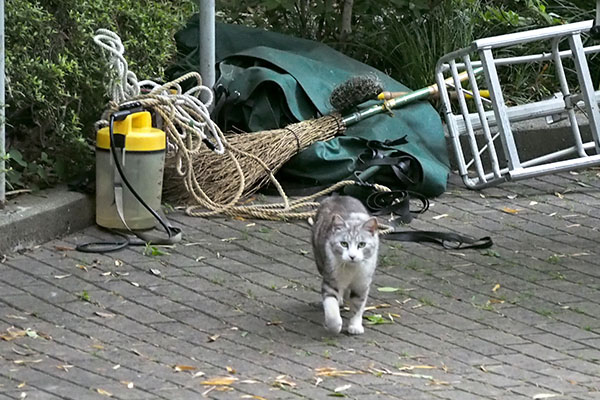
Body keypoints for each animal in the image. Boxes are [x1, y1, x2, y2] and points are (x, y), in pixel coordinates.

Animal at [312, 194, 378, 334]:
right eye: (344, 244)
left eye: (362, 244)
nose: (352, 256)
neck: (351, 270)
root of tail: (338, 196)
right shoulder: (330, 279)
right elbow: (331, 305)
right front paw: (334, 326)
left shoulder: (362, 283)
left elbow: (358, 305)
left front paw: (355, 326)